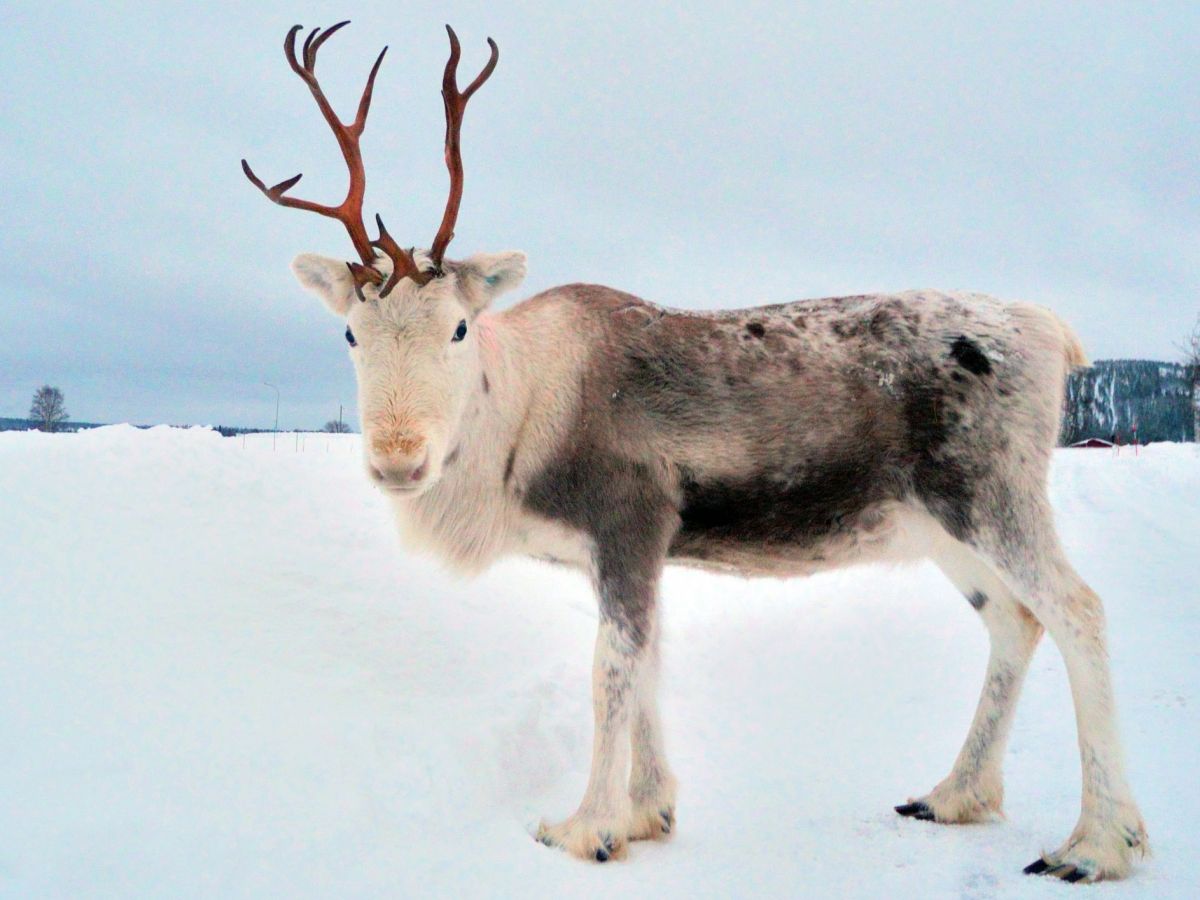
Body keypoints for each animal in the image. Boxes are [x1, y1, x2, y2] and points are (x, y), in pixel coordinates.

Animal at [241, 21, 1148, 882]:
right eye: (350, 334)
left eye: (459, 327)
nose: (399, 459)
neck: (522, 422)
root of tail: (1052, 330)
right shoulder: (623, 550)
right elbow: (644, 665)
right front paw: (647, 813)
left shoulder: (630, 522)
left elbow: (610, 670)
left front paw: (584, 827)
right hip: (938, 525)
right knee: (1014, 620)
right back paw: (955, 794)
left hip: (993, 493)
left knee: (1079, 609)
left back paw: (1097, 842)